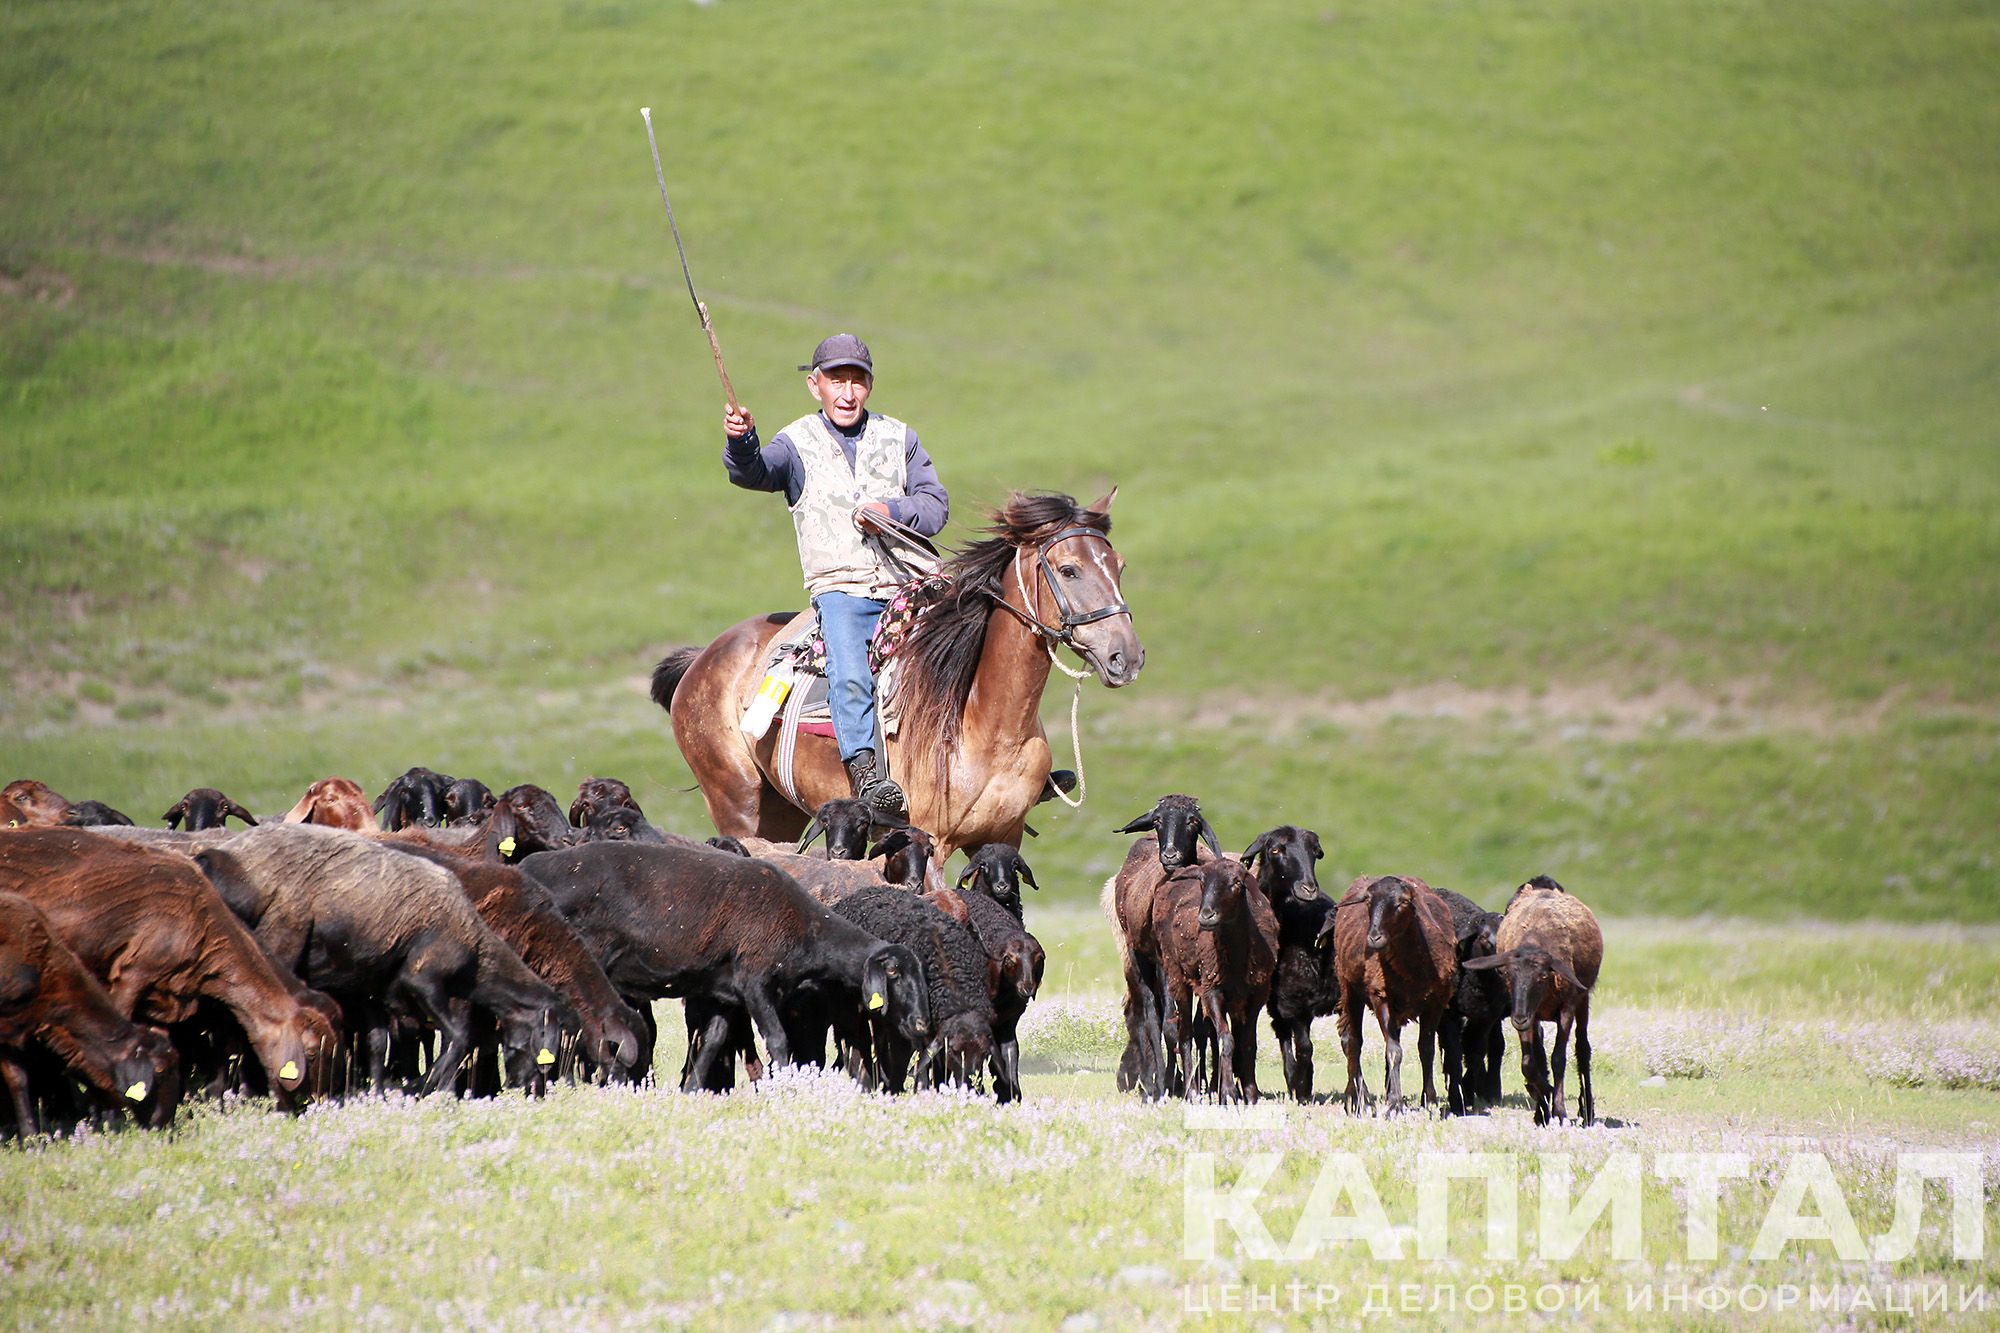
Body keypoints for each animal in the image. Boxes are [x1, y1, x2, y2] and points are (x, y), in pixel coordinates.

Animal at [660, 486, 1144, 852]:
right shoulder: (927, 840)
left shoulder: (1002, 838)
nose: (1127, 656)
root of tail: (704, 657)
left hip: (780, 815)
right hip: (740, 805)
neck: (984, 722)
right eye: (1069, 569)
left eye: (1120, 566)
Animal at [1336, 872, 1464, 1112]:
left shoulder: (1436, 1002)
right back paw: (1356, 1099)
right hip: (1348, 987)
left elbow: (1426, 1050)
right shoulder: (1380, 996)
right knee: (1353, 1042)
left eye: (1403, 902)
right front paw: (1395, 1104)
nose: (1374, 937)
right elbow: (1394, 1051)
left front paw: (1429, 1100)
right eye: (1368, 900)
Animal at [1472, 876, 1608, 1128]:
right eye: (1506, 974)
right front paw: (1543, 1097)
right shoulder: (1528, 1014)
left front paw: (1560, 1109)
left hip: (1582, 1000)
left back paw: (1586, 1109)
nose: (1518, 1018)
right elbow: (1529, 1063)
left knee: (1582, 1049)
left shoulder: (1566, 1009)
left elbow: (1558, 1059)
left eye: (1543, 976)